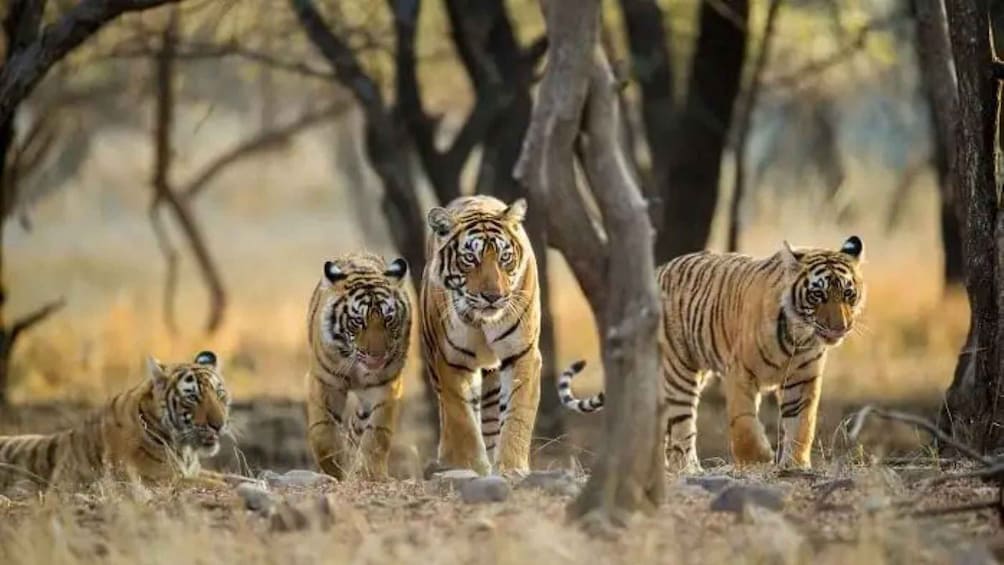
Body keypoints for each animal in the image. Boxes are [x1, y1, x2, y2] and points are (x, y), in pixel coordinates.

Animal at [0, 351, 231, 491]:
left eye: (220, 394)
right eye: (192, 397)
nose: (218, 425)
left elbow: (224, 477)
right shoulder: (158, 478)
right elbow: (219, 484)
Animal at [305, 252, 411, 480]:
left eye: (389, 319)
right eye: (358, 321)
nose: (377, 354)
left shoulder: (386, 386)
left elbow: (377, 434)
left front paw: (371, 473)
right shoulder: (324, 382)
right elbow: (323, 432)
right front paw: (335, 471)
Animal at [421, 195, 541, 476]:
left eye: (504, 257)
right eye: (469, 258)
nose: (493, 296)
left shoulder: (522, 354)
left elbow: (518, 413)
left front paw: (510, 467)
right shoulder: (452, 361)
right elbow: (461, 417)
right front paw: (468, 465)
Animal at [557, 236, 866, 471]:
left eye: (848, 294)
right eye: (818, 295)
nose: (840, 327)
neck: (798, 335)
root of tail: (657, 271)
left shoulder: (802, 380)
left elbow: (802, 424)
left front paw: (795, 464)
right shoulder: (741, 373)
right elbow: (743, 423)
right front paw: (758, 460)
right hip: (679, 372)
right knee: (682, 429)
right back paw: (689, 470)